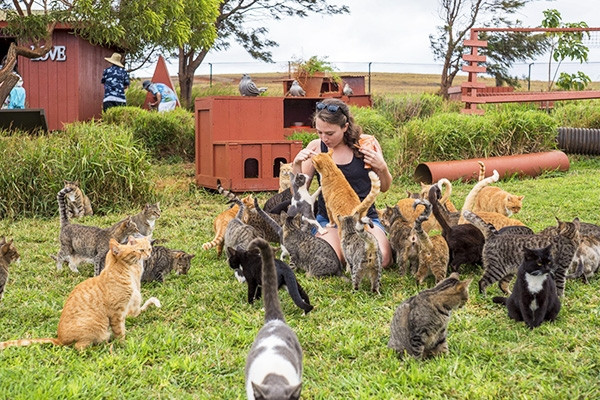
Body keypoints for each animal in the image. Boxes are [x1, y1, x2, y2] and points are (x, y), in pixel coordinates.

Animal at [0, 238, 157, 350]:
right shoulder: (117, 313)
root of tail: (59, 339)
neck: (123, 273)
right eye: (135, 251)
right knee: (79, 347)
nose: (144, 254)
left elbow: (123, 328)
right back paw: (104, 346)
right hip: (95, 328)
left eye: (140, 250)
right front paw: (123, 343)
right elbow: (120, 331)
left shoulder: (123, 312)